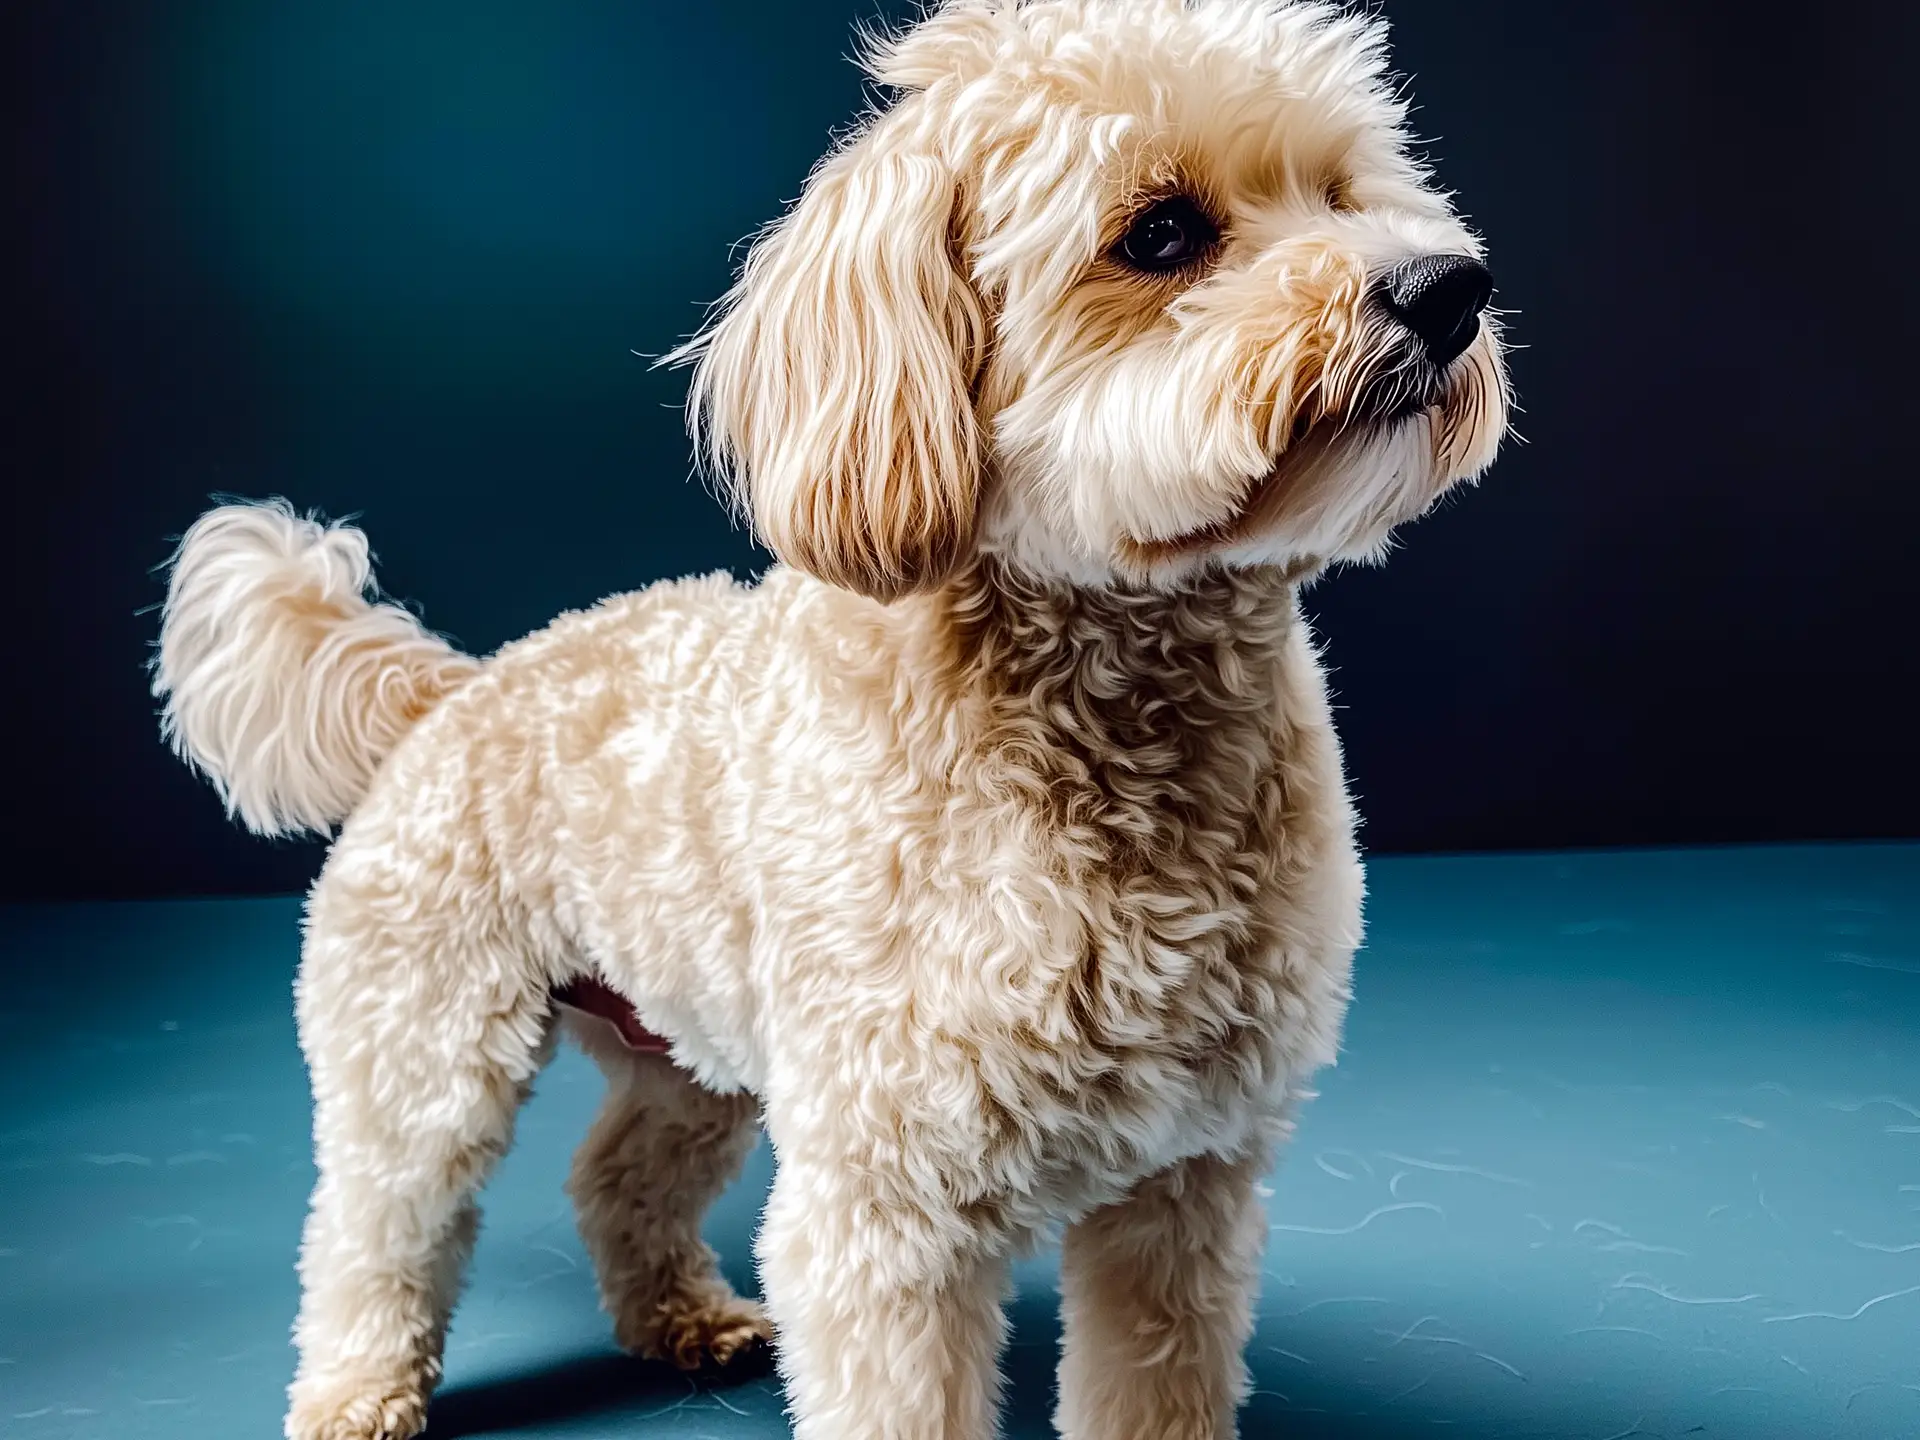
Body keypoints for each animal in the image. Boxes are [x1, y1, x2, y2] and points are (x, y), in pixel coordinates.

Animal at [153, 5, 1497, 1436]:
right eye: (1161, 234)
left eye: (1346, 195)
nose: (1447, 287)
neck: (1114, 714)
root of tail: (456, 691)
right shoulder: (887, 1204)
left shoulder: (1184, 1182)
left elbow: (1156, 1381)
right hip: (425, 1046)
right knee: (375, 1224)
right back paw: (355, 1390)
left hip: (689, 1053)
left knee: (617, 1171)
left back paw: (681, 1317)